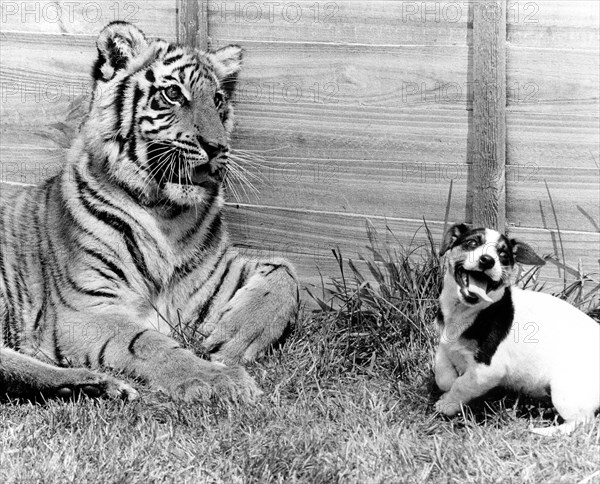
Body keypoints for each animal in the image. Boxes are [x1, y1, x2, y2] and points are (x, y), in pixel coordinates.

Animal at [434, 223, 596, 434]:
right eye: (472, 243)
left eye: (503, 255)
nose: (487, 260)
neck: (468, 311)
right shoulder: (444, 342)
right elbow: (441, 372)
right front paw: (446, 389)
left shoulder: (487, 370)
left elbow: (461, 385)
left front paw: (448, 404)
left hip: (564, 391)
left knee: (582, 422)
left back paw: (543, 431)